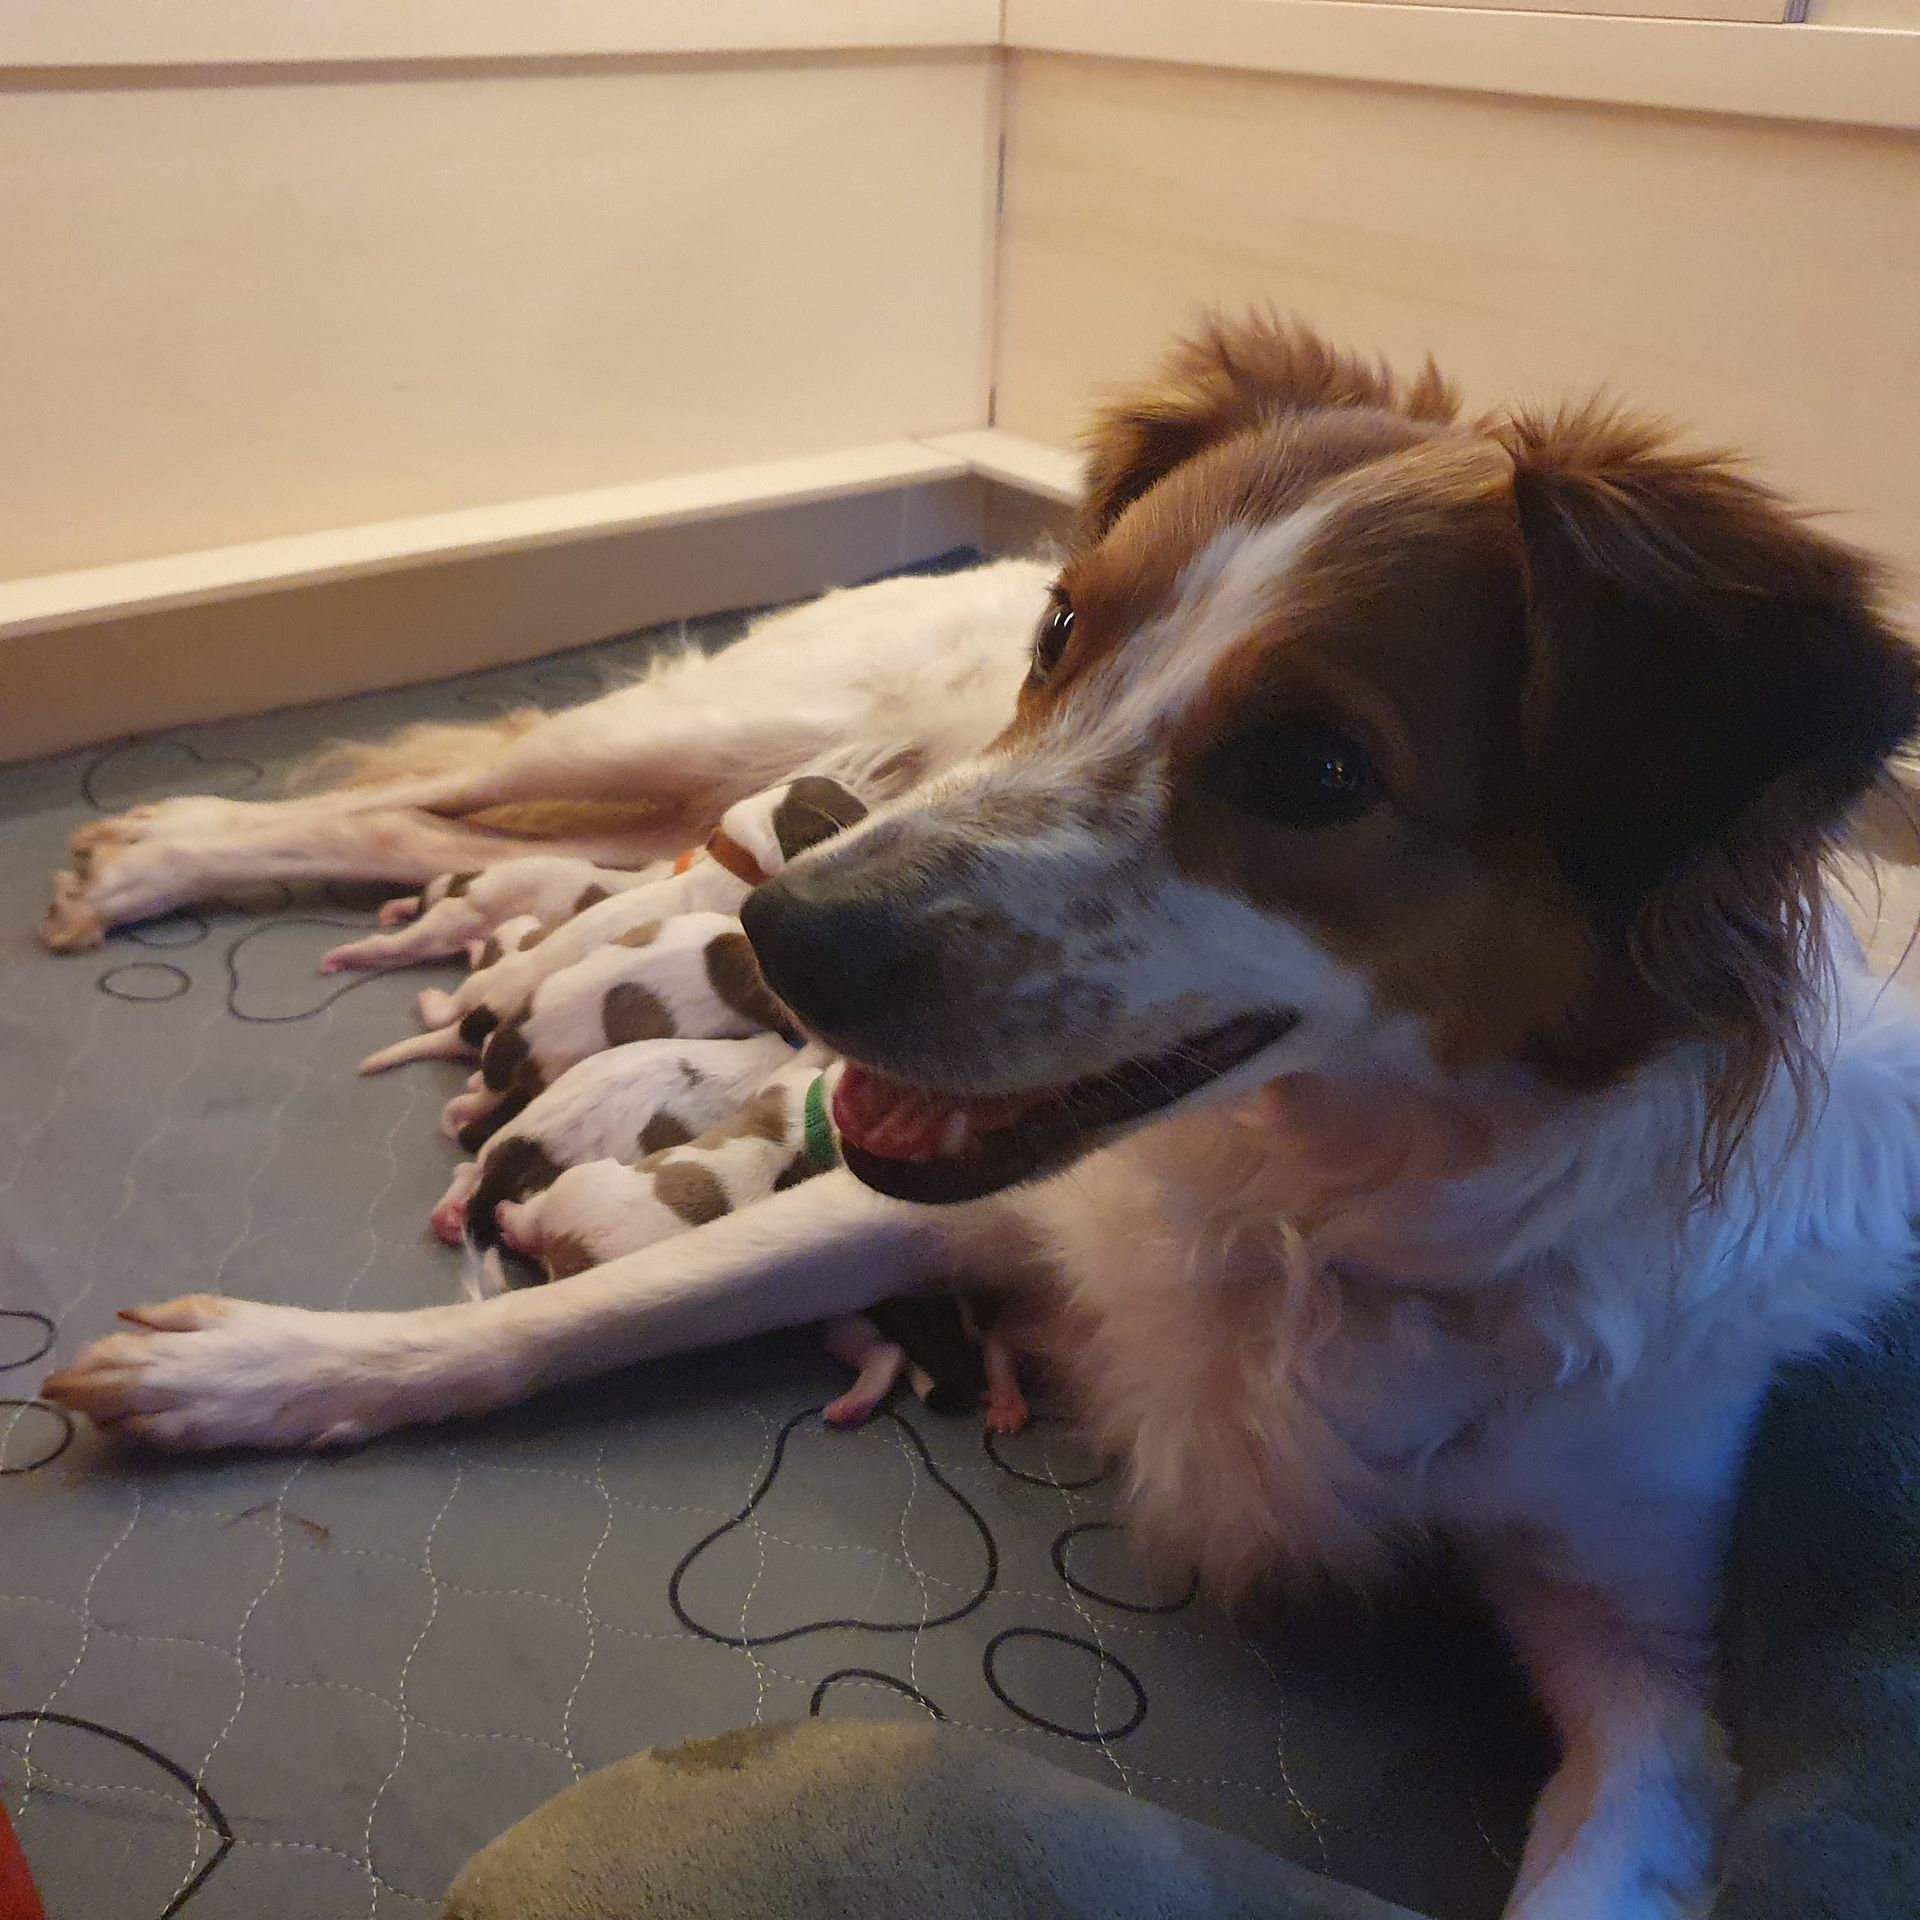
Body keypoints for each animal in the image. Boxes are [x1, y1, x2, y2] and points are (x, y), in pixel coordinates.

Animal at [40, 316, 1920, 1919]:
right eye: (1067, 638)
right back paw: (163, 848)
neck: (1322, 1204)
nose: (784, 940)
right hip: (724, 731)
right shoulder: (944, 1191)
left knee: (451, 828)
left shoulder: (1647, 1646)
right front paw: (258, 1370)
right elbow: (586, 1312)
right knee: (430, 778)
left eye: (1314, 769)